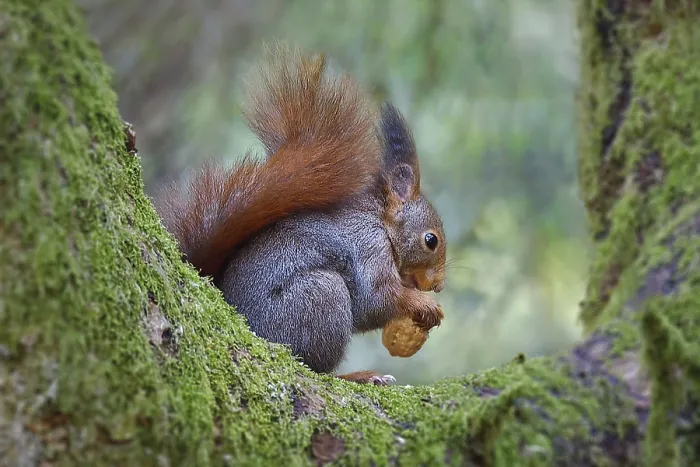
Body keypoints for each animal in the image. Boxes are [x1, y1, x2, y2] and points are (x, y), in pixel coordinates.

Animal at [153, 46, 446, 385]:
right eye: (430, 240)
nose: (438, 285)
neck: (381, 224)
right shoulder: (368, 248)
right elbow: (376, 301)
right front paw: (425, 305)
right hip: (320, 298)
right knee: (315, 368)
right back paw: (356, 376)